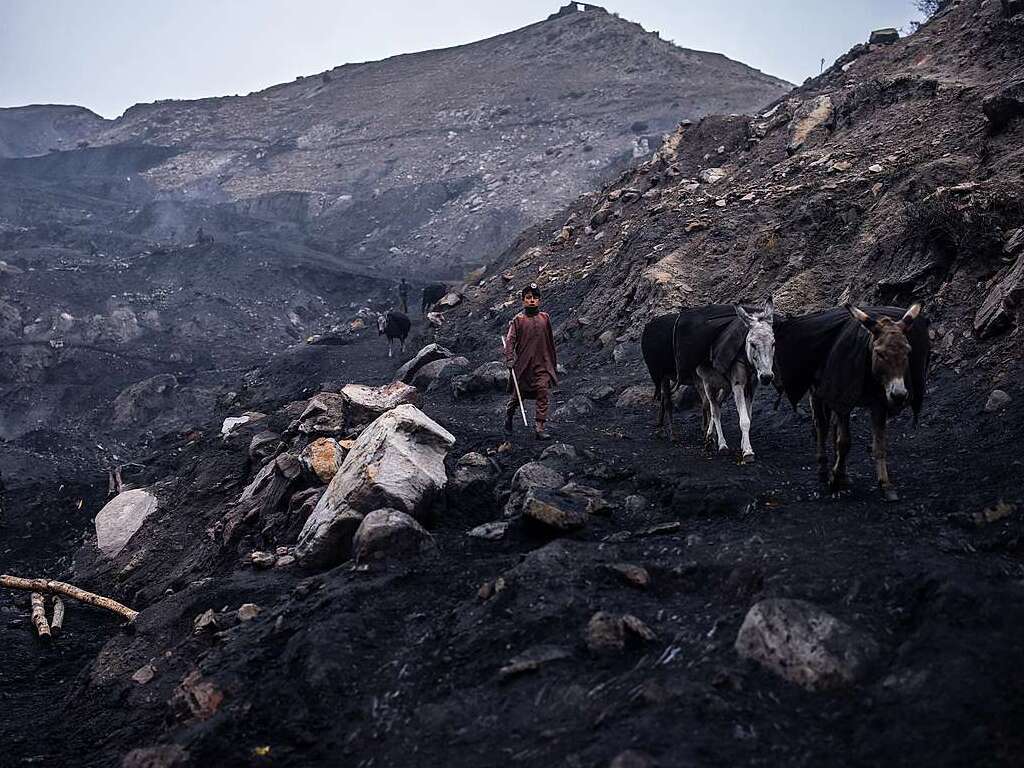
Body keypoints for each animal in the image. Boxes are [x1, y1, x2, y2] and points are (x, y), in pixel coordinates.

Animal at [671, 296, 774, 460]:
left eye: (773, 343)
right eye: (752, 344)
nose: (766, 377)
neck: (744, 356)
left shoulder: (751, 386)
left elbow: (748, 417)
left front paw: (743, 445)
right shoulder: (738, 385)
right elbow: (743, 420)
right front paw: (748, 452)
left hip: (725, 387)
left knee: (717, 405)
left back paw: (710, 437)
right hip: (708, 384)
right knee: (715, 410)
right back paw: (721, 445)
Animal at [774, 303, 929, 501]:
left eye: (908, 351)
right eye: (879, 353)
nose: (899, 395)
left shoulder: (878, 405)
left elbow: (879, 445)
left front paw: (885, 484)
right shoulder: (843, 401)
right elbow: (844, 442)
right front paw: (834, 480)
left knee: (832, 429)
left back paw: (842, 475)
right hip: (817, 394)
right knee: (821, 427)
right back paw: (824, 470)